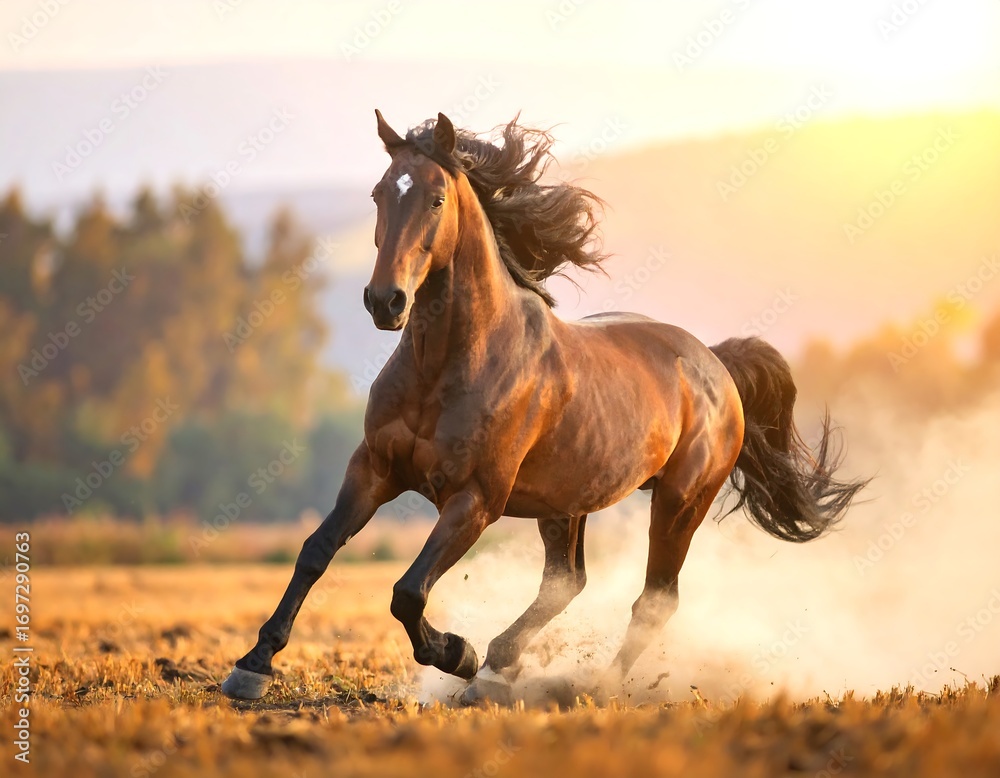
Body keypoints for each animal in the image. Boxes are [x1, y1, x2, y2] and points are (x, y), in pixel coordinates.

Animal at [221, 110, 865, 705]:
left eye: (436, 198)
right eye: (380, 193)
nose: (386, 301)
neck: (448, 365)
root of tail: (716, 363)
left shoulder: (475, 499)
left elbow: (408, 591)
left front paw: (456, 652)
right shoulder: (374, 470)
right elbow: (315, 552)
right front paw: (252, 666)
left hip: (682, 500)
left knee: (654, 599)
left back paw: (586, 686)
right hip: (566, 503)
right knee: (566, 581)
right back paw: (500, 668)